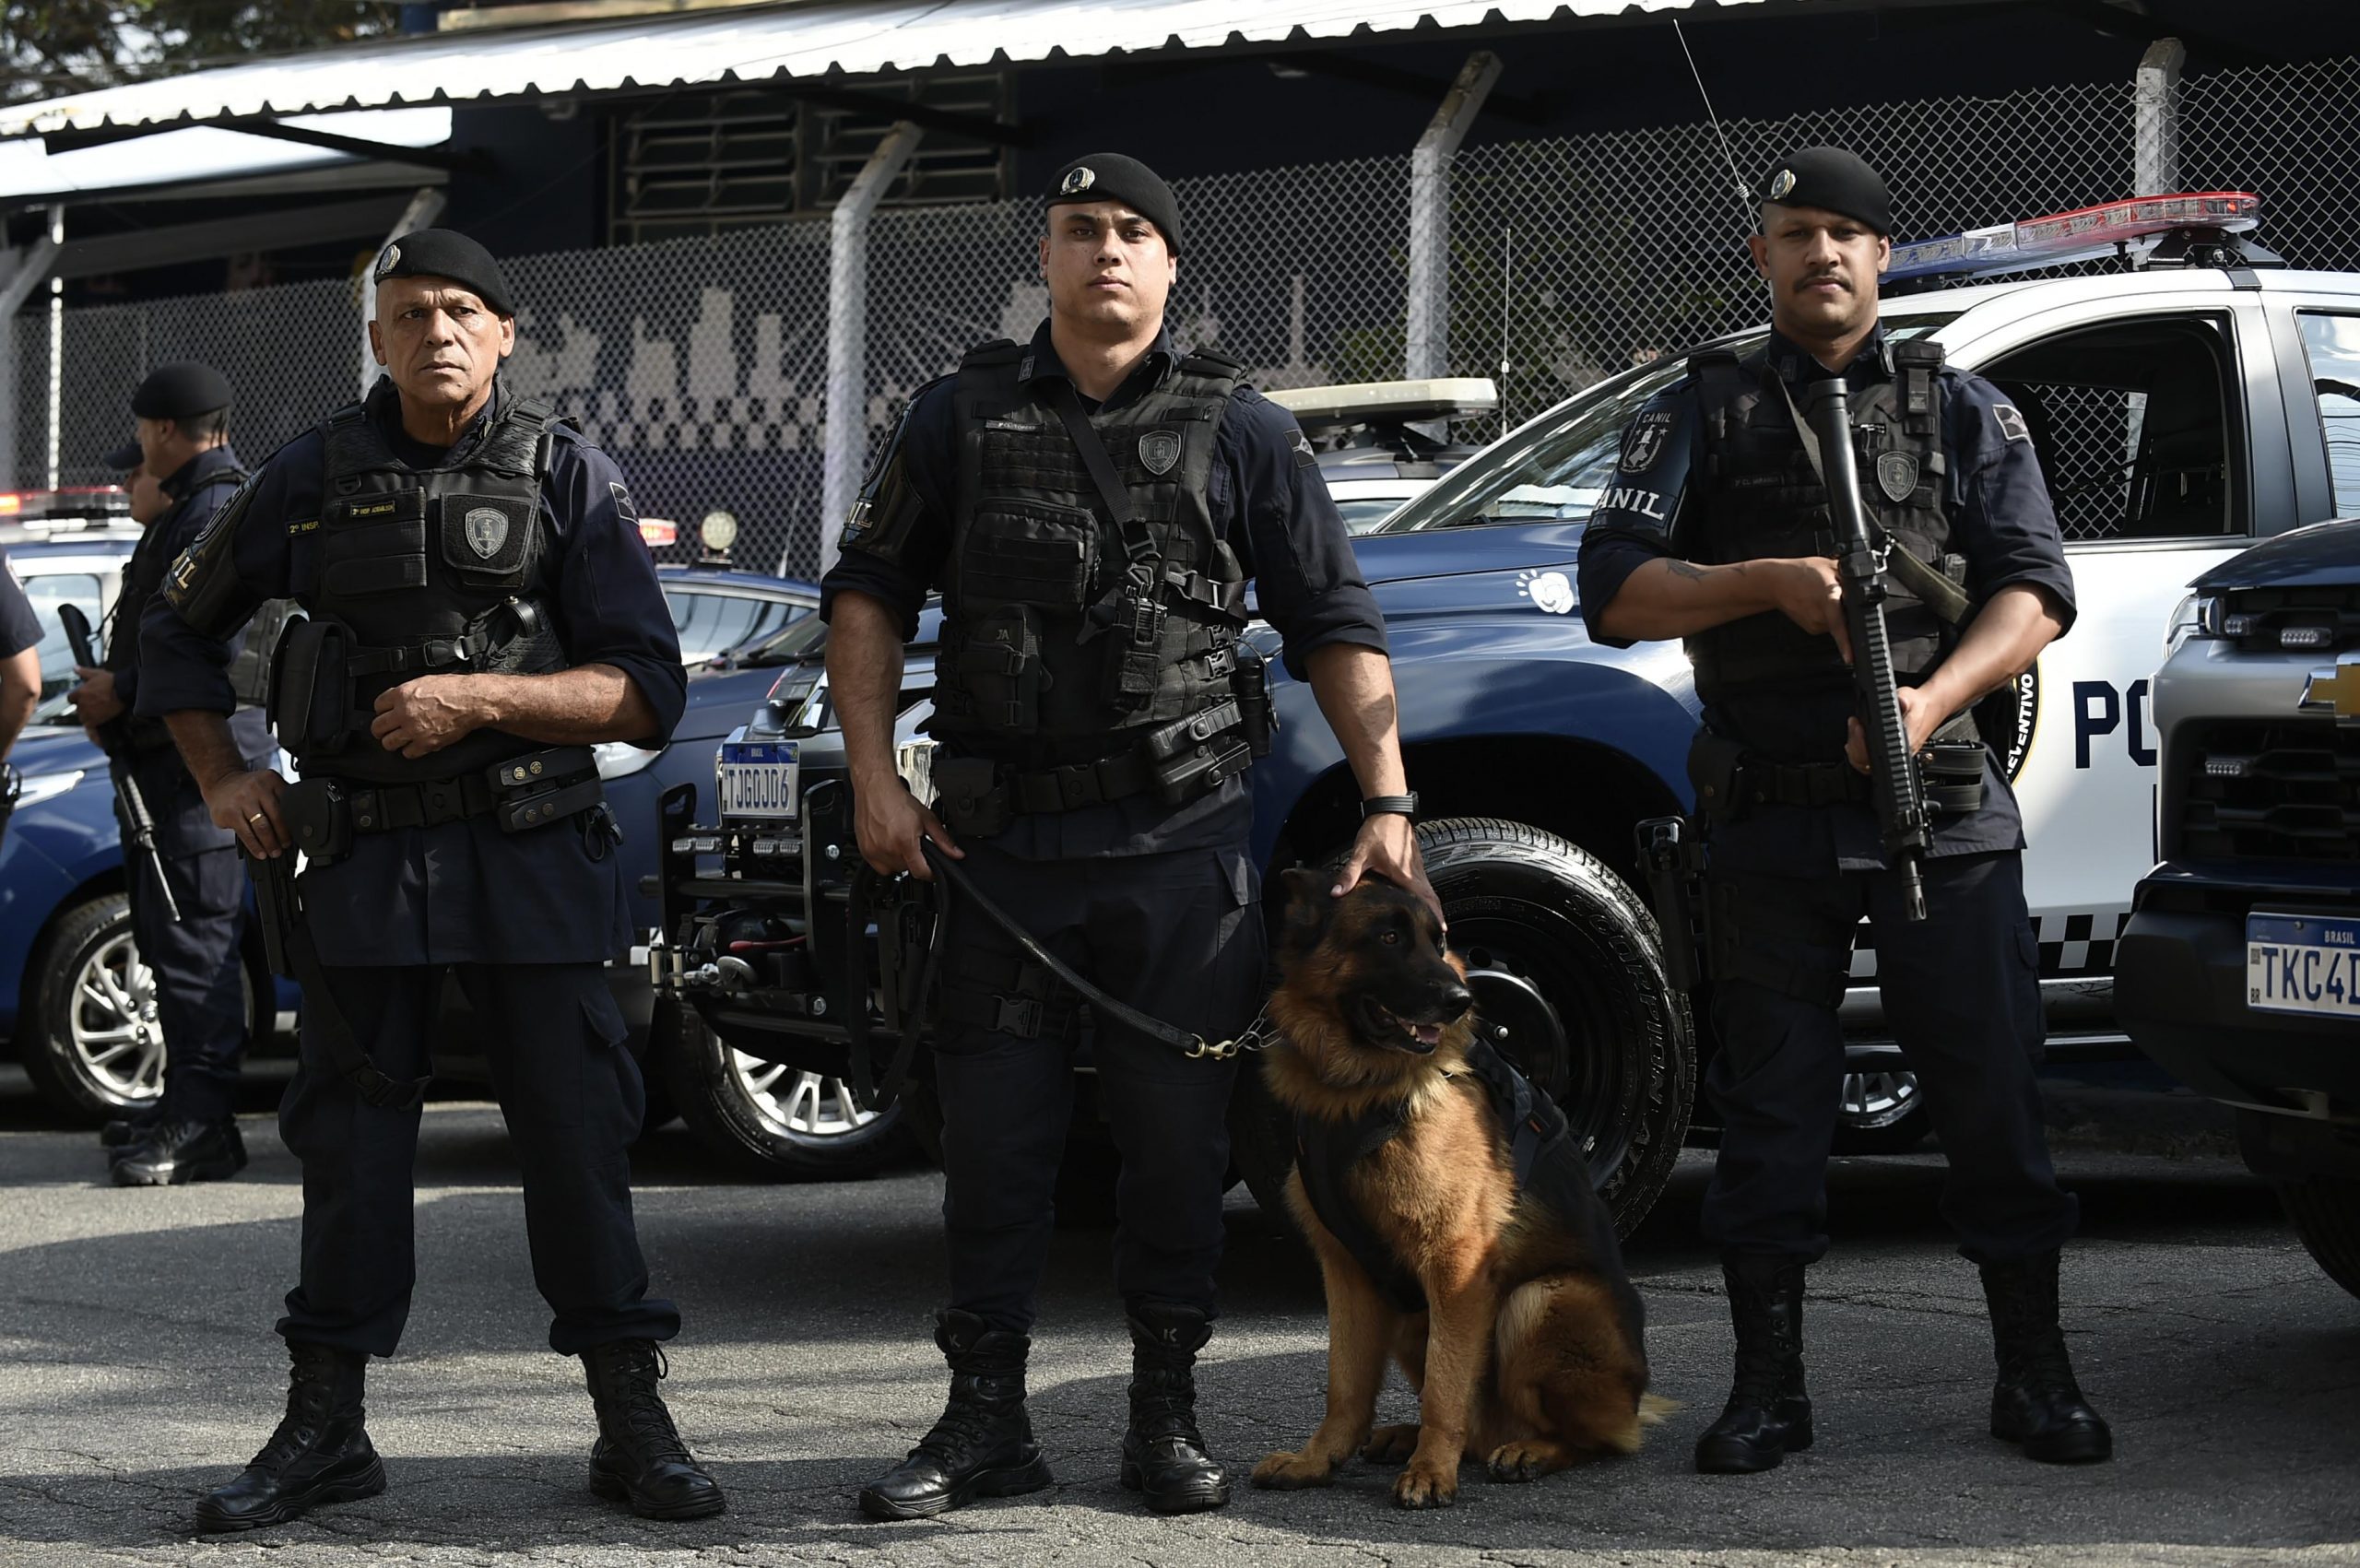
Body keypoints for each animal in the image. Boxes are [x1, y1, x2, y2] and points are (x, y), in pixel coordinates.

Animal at [1249, 870, 1666, 1509]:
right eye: (1389, 936)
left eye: (1437, 938)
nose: (1462, 1003)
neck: (1359, 1093)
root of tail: (1633, 1399)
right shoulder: (1347, 1271)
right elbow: (1344, 1385)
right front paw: (1317, 1461)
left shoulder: (1455, 1265)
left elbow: (1446, 1387)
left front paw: (1430, 1472)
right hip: (1407, 1312)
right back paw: (1408, 1436)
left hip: (1539, 1300)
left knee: (1589, 1438)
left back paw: (1526, 1451)